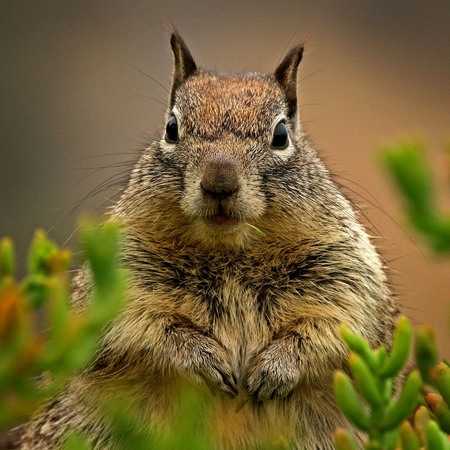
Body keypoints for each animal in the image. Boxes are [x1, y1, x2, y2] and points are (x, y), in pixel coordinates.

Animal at [11, 31, 398, 450]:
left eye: (281, 135)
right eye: (171, 128)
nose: (220, 182)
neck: (230, 255)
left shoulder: (345, 275)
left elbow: (334, 330)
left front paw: (274, 369)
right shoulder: (122, 278)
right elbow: (141, 329)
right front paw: (202, 358)